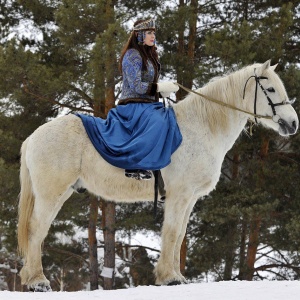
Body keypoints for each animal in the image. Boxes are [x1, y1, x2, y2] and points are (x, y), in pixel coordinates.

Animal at [18, 60, 298, 290]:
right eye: (270, 89)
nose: (293, 123)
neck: (200, 127)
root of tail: (33, 137)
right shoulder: (179, 196)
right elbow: (172, 233)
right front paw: (169, 277)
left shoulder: (190, 199)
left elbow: (180, 234)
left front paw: (177, 275)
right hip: (51, 194)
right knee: (36, 229)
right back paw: (37, 281)